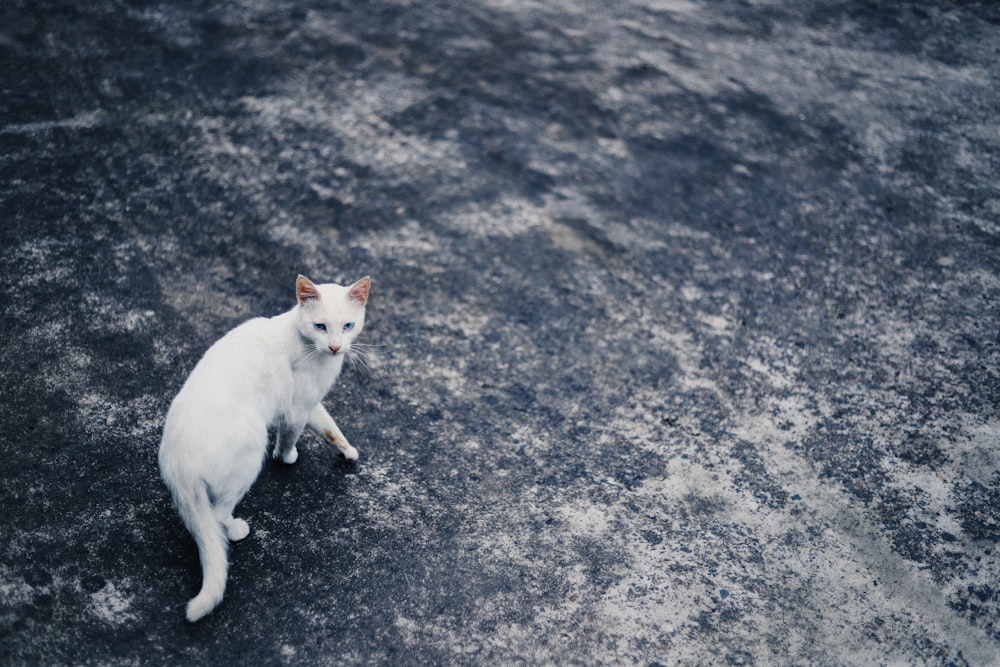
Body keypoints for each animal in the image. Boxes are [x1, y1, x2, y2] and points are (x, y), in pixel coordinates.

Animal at [160, 274, 372, 624]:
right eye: (320, 326)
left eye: (348, 326)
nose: (335, 346)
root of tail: (180, 466)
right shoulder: (296, 409)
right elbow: (290, 437)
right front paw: (286, 457)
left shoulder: (311, 404)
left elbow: (328, 425)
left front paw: (347, 449)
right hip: (251, 446)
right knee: (218, 514)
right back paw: (236, 529)